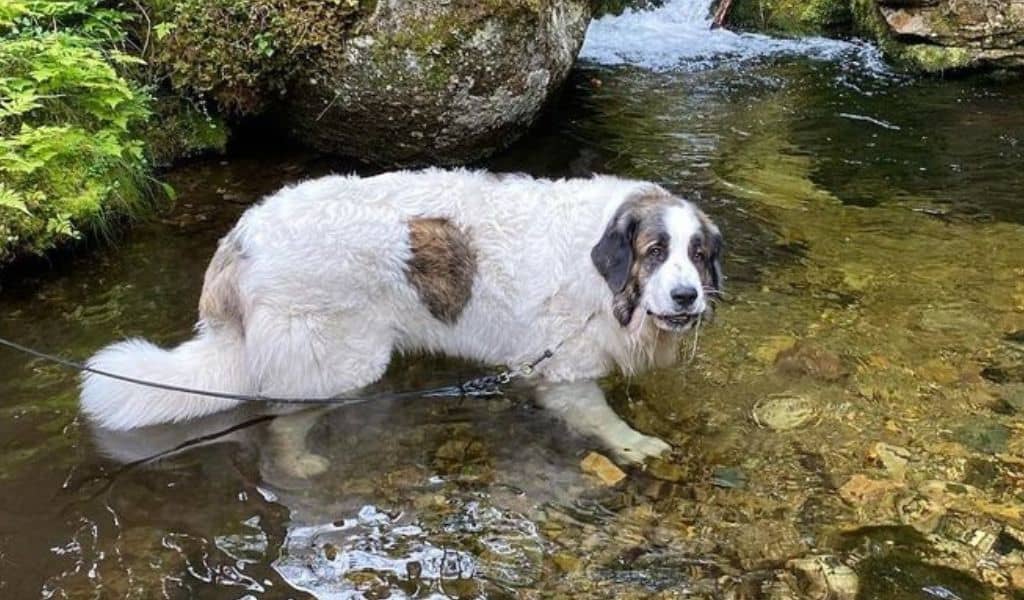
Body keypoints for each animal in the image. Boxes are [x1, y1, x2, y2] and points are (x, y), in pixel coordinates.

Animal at [79, 167, 720, 462]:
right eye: (655, 252)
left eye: (697, 254)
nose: (687, 297)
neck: (602, 271)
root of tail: (242, 238)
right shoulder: (565, 371)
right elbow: (599, 418)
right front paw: (635, 443)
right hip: (337, 361)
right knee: (284, 420)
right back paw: (302, 464)